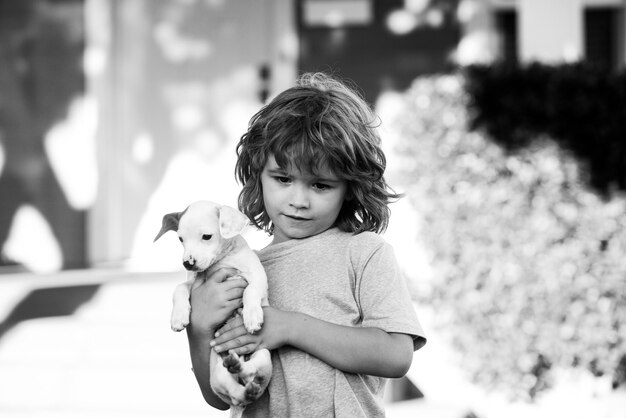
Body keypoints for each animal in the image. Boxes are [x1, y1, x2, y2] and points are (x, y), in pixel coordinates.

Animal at [154, 200, 270, 414]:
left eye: (206, 236)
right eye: (181, 239)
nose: (187, 263)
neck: (221, 261)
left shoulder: (257, 277)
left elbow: (250, 291)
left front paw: (252, 317)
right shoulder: (191, 283)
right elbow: (178, 288)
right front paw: (178, 318)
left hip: (264, 357)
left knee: (252, 374)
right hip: (217, 376)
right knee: (237, 393)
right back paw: (237, 371)